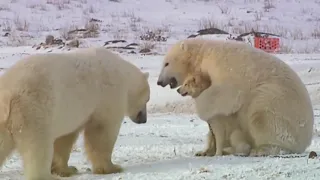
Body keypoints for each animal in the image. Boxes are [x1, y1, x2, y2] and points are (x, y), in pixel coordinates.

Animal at [0, 47, 151, 180]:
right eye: (147, 99)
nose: (144, 119)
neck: (123, 74)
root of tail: (7, 94)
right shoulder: (107, 97)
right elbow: (101, 132)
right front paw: (112, 167)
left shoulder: (73, 113)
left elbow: (65, 138)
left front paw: (66, 169)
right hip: (32, 109)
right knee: (37, 145)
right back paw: (45, 176)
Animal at [158, 38, 316, 157]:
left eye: (167, 63)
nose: (159, 82)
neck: (203, 53)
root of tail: (306, 140)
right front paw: (203, 151)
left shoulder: (223, 70)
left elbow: (226, 96)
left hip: (279, 103)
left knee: (261, 113)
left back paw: (261, 149)